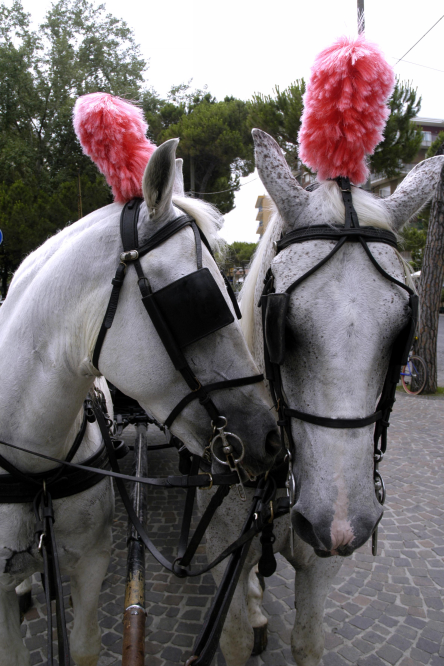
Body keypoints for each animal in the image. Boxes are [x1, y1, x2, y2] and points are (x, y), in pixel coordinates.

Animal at [199, 130, 444, 664]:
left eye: (403, 332)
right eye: (282, 327)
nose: (341, 524)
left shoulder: (319, 562)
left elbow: (307, 640)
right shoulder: (222, 552)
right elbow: (233, 639)